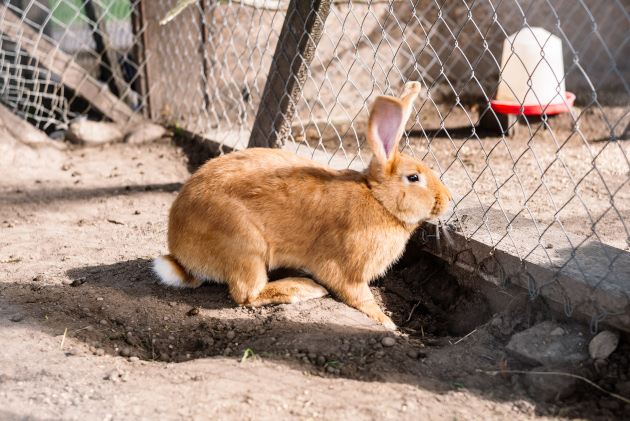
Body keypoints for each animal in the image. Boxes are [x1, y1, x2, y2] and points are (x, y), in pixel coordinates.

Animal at [153, 80, 452, 326]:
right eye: (413, 178)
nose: (447, 199)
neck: (377, 199)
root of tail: (181, 254)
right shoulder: (346, 269)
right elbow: (359, 296)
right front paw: (387, 323)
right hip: (245, 245)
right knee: (247, 295)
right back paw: (306, 288)